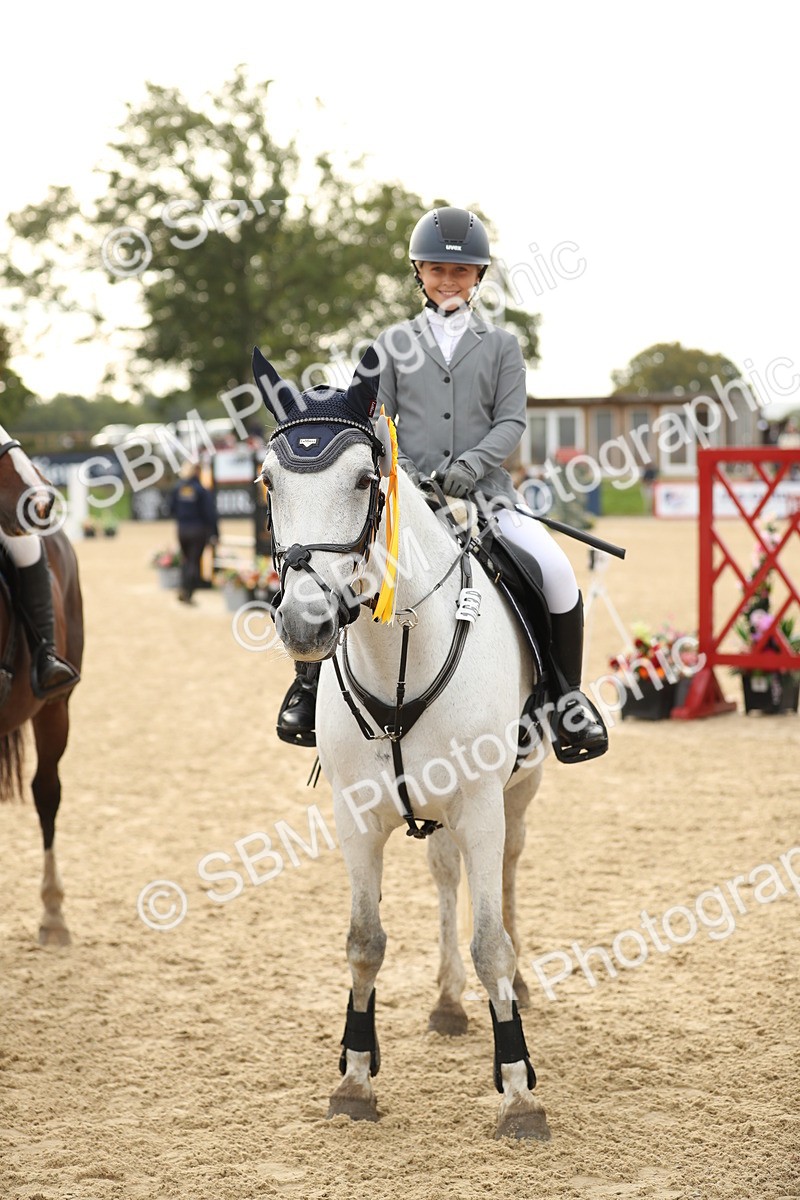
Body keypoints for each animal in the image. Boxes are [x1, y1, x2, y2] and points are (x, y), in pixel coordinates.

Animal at [253, 345, 552, 1141]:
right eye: (267, 482)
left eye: (365, 480)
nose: (305, 624)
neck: (400, 652)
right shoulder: (356, 817)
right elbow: (365, 942)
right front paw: (355, 1077)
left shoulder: (481, 802)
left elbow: (491, 943)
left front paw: (519, 1091)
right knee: (448, 877)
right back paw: (447, 1003)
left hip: (518, 791)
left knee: (508, 870)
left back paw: (521, 983)